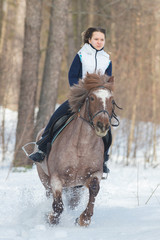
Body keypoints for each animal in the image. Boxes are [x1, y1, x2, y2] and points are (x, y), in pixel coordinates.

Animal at [36, 73, 116, 227]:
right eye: (92, 97)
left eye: (111, 100)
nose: (102, 125)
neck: (81, 147)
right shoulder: (56, 178)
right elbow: (58, 206)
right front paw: (51, 219)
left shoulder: (95, 173)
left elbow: (94, 189)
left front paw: (84, 219)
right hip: (44, 178)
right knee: (49, 195)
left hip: (75, 188)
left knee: (72, 202)